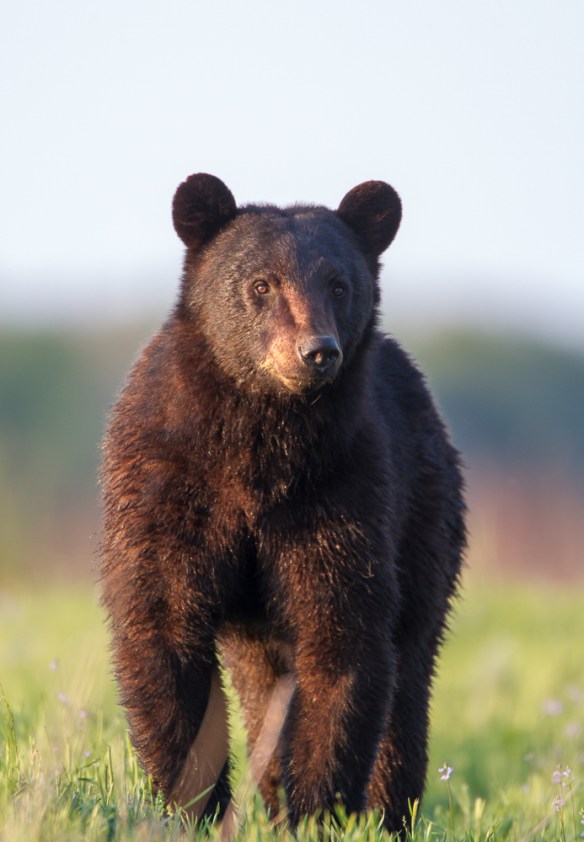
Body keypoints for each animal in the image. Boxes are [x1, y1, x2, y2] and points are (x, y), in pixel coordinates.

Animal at [100, 173, 465, 832]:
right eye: (261, 284)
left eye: (339, 284)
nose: (317, 351)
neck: (259, 446)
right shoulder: (168, 484)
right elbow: (163, 627)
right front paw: (191, 805)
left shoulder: (339, 493)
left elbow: (342, 638)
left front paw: (320, 809)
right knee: (261, 681)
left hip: (426, 518)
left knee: (411, 670)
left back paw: (389, 812)